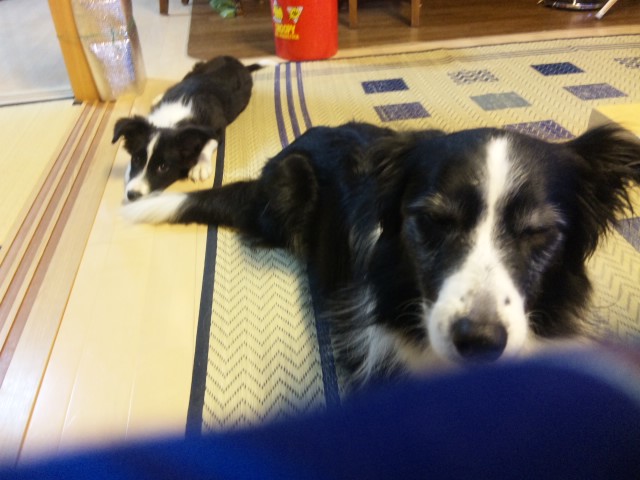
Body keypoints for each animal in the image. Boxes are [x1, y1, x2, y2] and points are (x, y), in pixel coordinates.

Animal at [113, 56, 266, 202]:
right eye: (136, 159)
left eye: (163, 167)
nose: (132, 195)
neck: (170, 121)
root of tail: (241, 64)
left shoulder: (218, 127)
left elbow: (209, 142)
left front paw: (200, 167)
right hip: (196, 69)